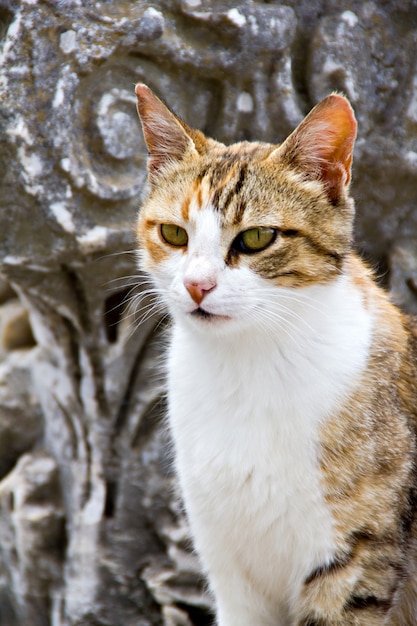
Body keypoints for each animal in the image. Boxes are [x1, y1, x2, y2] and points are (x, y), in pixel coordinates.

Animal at [133, 83, 416, 624]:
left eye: (257, 238)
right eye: (174, 234)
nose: (198, 285)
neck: (245, 365)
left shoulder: (354, 559)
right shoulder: (230, 569)